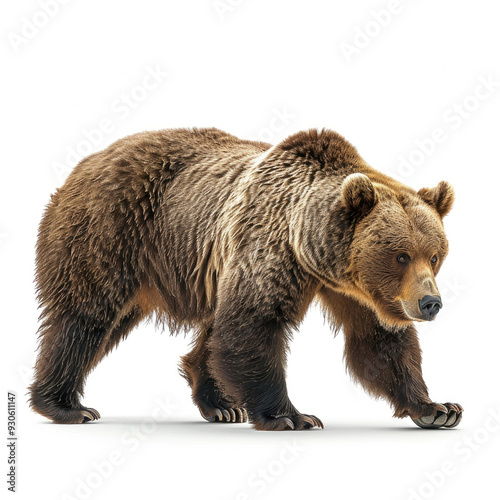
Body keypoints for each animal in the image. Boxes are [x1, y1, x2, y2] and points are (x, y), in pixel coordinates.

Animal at [30, 128, 460, 430]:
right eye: (400, 255)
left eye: (434, 255)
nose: (430, 303)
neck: (312, 247)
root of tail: (86, 162)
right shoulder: (269, 245)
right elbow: (253, 325)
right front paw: (291, 416)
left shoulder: (357, 290)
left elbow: (379, 342)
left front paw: (437, 408)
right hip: (109, 231)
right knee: (84, 317)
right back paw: (66, 406)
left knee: (204, 329)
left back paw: (221, 405)